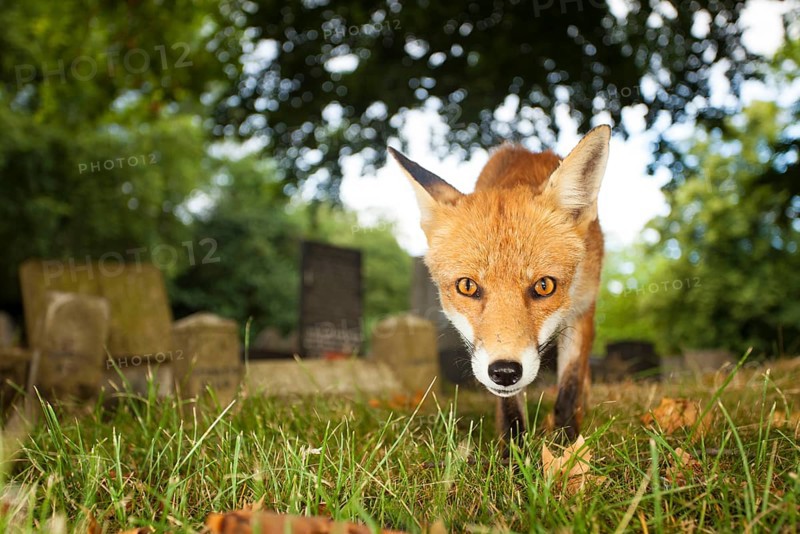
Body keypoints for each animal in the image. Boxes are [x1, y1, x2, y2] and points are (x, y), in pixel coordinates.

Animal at [388, 125, 611, 445]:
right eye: (467, 286)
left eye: (544, 286)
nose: (505, 372)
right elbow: (510, 408)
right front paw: (513, 452)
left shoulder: (580, 310)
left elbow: (569, 389)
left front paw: (568, 447)